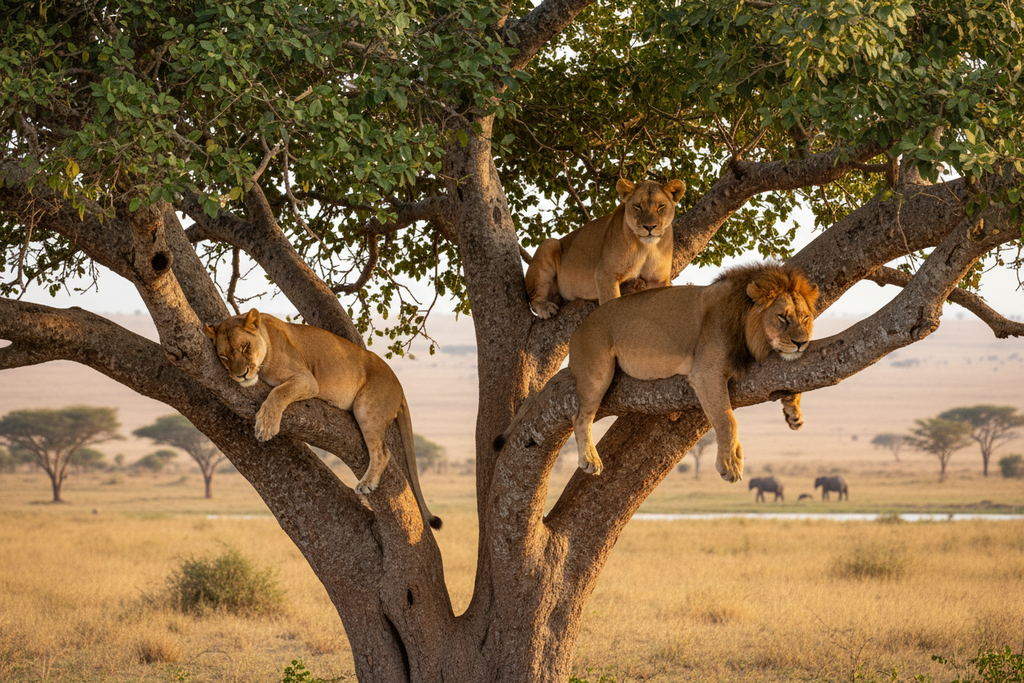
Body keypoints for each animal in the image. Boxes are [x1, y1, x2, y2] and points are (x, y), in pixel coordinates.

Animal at [205, 309, 441, 530]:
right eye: (224, 357)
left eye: (245, 347)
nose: (241, 375)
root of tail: (398, 384)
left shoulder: (307, 380)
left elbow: (278, 392)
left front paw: (265, 425)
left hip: (367, 408)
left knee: (383, 452)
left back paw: (366, 483)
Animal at [494, 262, 818, 484]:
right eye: (782, 317)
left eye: (805, 317)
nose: (802, 343)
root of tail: (579, 329)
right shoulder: (706, 372)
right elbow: (727, 420)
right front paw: (730, 464)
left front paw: (794, 412)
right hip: (597, 370)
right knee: (580, 417)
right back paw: (589, 460)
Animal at [523, 178, 686, 318]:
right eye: (637, 206)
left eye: (661, 206)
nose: (649, 227)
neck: (646, 247)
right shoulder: (605, 274)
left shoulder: (659, 280)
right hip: (549, 244)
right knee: (533, 298)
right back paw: (546, 308)